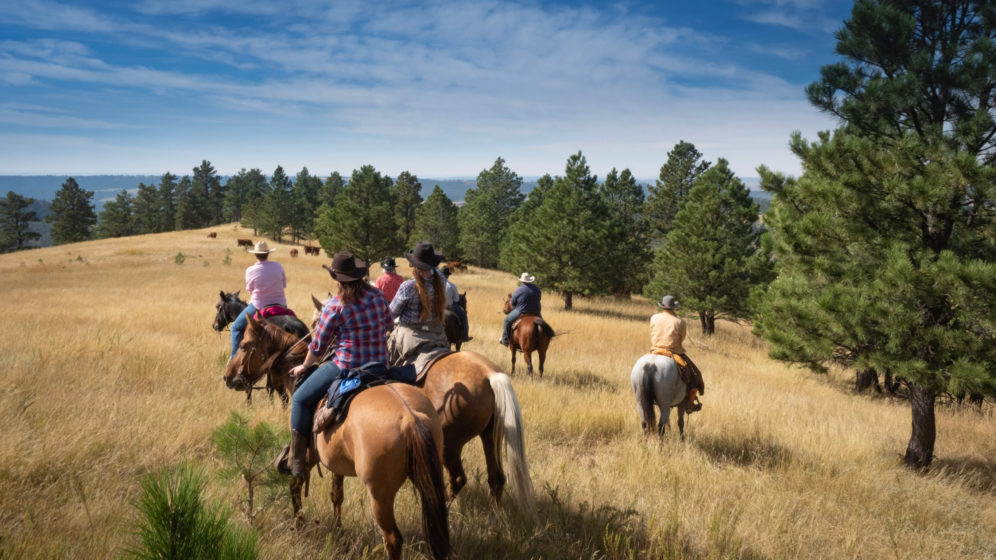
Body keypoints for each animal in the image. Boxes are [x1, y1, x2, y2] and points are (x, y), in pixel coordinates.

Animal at [235, 316, 536, 512]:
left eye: (245, 344)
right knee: (497, 479)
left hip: (451, 444)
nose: (232, 378)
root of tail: (489, 373)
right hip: (489, 436)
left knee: (458, 479)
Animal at [290, 382, 450, 556]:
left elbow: (297, 482)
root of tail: (409, 417)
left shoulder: (311, 453)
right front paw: (338, 530)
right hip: (429, 479)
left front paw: (299, 523)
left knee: (393, 539)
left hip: (379, 497)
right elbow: (336, 494)